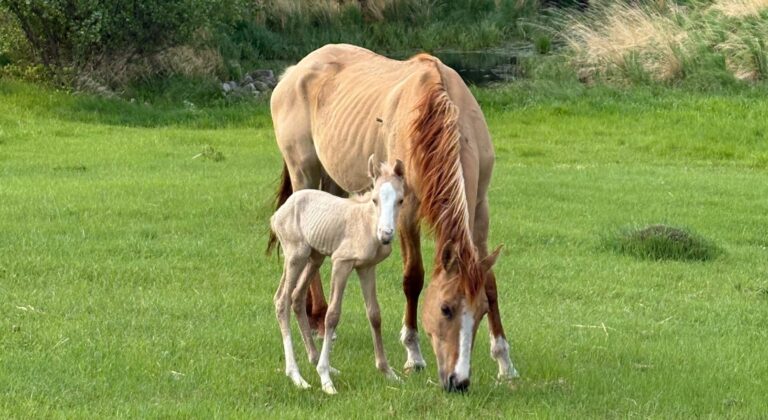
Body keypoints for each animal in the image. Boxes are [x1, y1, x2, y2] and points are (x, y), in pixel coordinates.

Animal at [271, 156, 405, 394]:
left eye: (400, 200)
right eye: (375, 200)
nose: (386, 235)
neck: (366, 224)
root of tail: (278, 213)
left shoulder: (366, 268)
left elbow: (375, 314)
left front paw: (388, 372)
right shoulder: (341, 263)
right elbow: (332, 315)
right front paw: (325, 380)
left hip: (315, 258)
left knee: (296, 297)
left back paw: (317, 361)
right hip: (296, 256)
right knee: (282, 300)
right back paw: (297, 376)